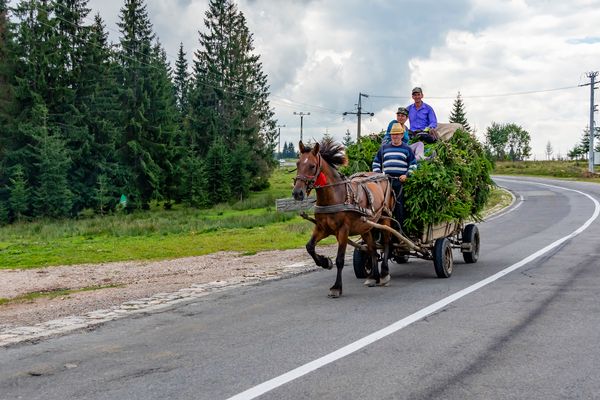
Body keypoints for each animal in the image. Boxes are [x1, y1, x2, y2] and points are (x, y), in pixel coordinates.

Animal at [292, 138, 396, 296]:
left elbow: (340, 260)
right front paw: (325, 262)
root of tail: (383, 176)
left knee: (386, 243)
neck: (336, 195)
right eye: (298, 164)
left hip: (385, 219)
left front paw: (336, 287)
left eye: (312, 166)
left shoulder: (343, 230)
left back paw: (384, 274)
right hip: (366, 226)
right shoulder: (322, 228)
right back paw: (373, 277)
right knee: (372, 248)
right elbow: (309, 247)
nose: (297, 193)